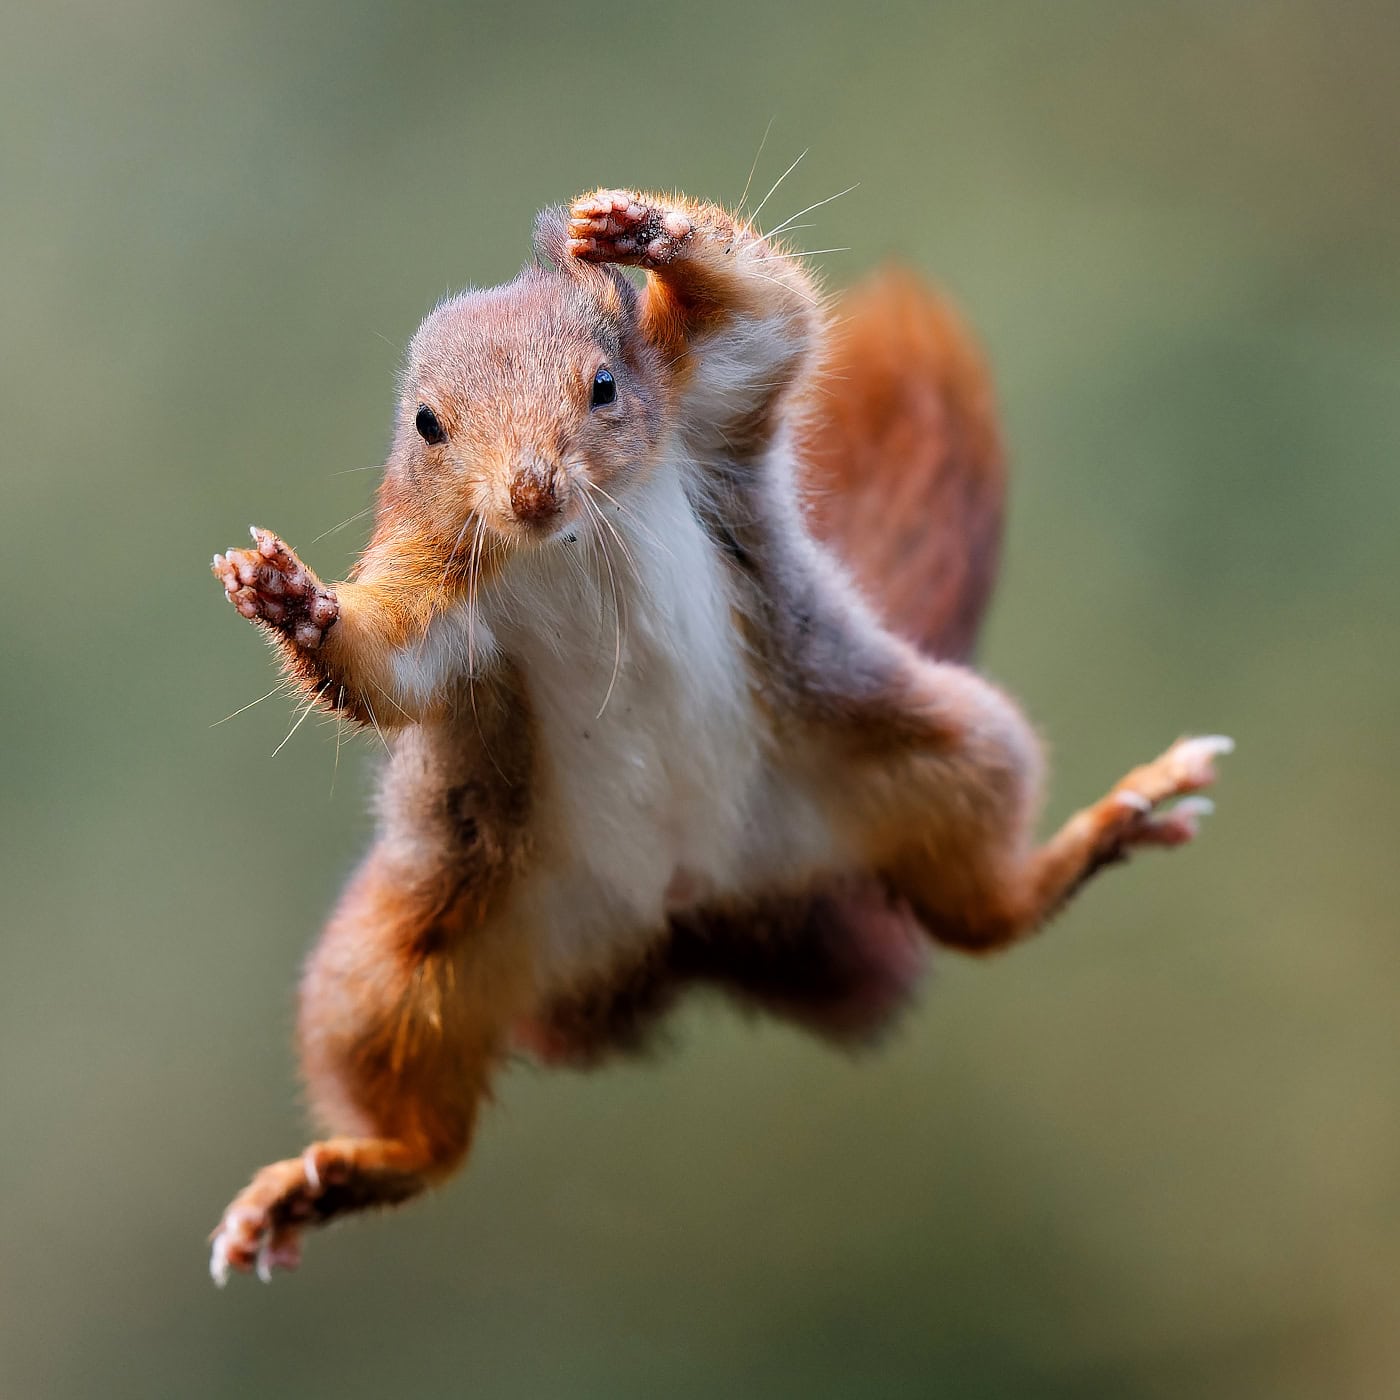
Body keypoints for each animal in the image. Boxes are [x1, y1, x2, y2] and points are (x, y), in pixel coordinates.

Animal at [208, 187, 1231, 1283]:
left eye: (605, 385)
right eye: (427, 425)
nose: (529, 489)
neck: (567, 543)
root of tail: (688, 914)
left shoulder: (709, 406)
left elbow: (770, 319)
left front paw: (642, 231)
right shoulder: (432, 581)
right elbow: (388, 672)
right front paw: (295, 605)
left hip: (930, 750)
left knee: (982, 914)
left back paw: (1114, 821)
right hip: (407, 951)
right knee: (430, 1136)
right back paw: (333, 1177)